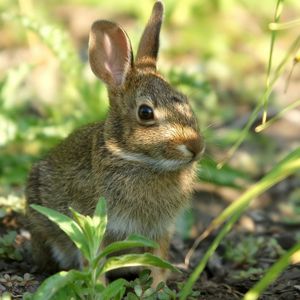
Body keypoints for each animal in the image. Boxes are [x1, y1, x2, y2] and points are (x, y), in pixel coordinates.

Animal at [25, 0, 204, 284]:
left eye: (185, 100)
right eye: (145, 113)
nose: (196, 147)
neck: (137, 159)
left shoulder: (160, 230)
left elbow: (158, 260)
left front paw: (157, 287)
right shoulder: (95, 221)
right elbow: (95, 260)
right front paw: (99, 287)